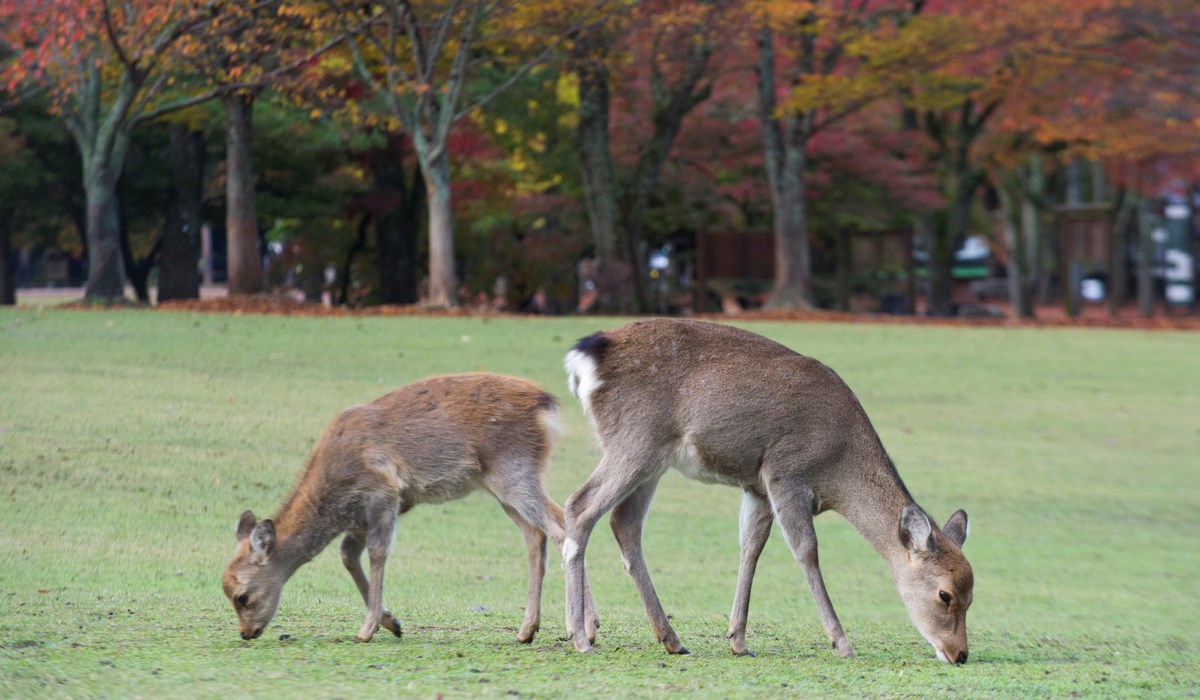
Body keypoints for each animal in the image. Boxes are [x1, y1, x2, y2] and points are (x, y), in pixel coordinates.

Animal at [219, 372, 595, 648]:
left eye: (243, 596)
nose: (246, 632)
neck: (334, 495)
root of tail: (547, 405)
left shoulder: (382, 493)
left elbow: (377, 552)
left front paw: (367, 629)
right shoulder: (361, 516)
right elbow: (347, 555)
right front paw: (392, 622)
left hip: (513, 469)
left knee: (559, 527)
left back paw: (583, 629)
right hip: (499, 484)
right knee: (537, 533)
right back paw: (528, 630)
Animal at [564, 319, 974, 667]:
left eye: (972, 594)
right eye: (945, 594)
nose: (960, 654)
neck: (838, 467)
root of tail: (584, 357)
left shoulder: (756, 486)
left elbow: (751, 547)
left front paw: (738, 640)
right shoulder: (784, 474)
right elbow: (807, 550)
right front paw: (841, 642)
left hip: (651, 459)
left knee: (623, 522)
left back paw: (670, 638)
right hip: (635, 440)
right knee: (579, 506)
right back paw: (580, 637)